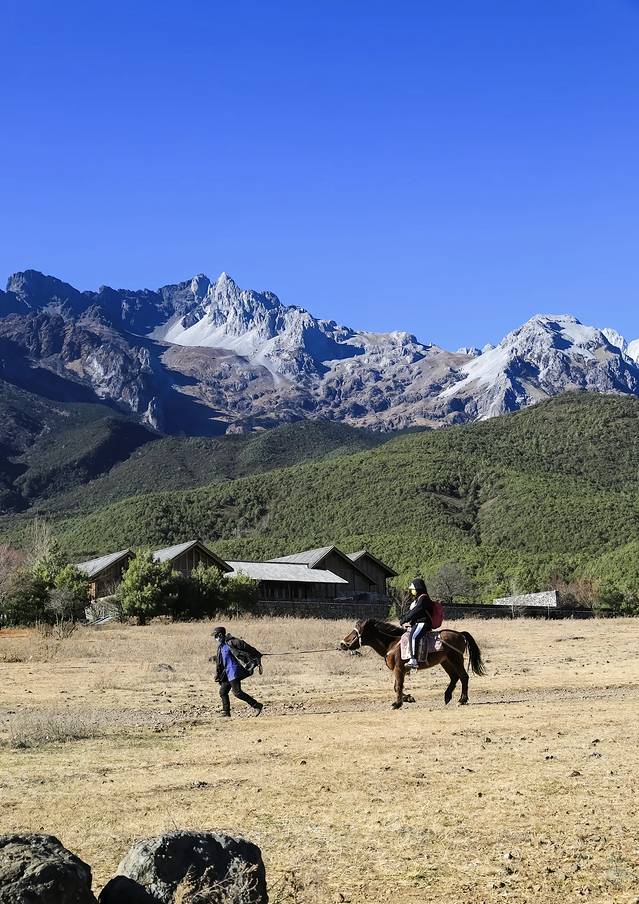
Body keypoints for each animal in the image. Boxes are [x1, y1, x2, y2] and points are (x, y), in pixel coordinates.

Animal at [340, 618, 485, 709]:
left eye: (355, 632)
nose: (342, 644)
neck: (392, 643)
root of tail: (460, 634)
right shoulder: (399, 670)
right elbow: (396, 687)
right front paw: (408, 698)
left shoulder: (399, 669)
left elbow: (398, 686)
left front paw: (397, 704)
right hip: (446, 662)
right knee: (454, 677)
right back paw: (447, 696)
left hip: (456, 660)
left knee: (463, 677)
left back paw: (462, 700)